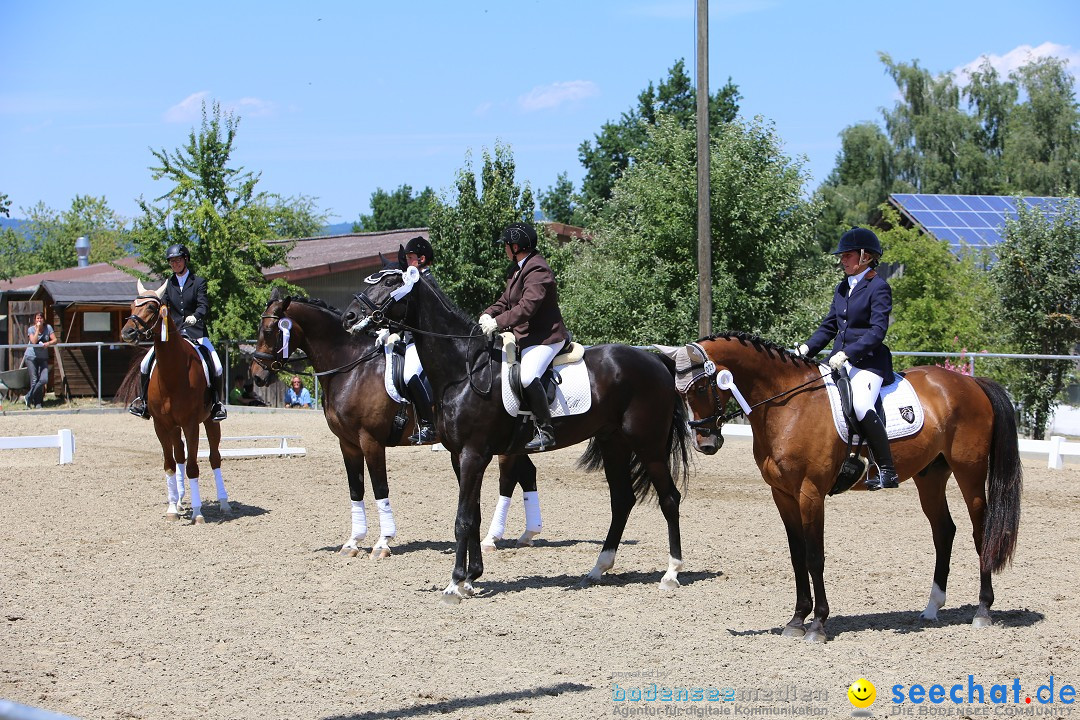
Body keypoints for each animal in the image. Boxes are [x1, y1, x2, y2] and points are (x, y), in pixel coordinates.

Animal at [119, 280, 226, 524]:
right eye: (131, 305)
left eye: (151, 307)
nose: (128, 332)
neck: (173, 371)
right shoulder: (161, 425)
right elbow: (170, 465)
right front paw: (172, 509)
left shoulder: (191, 424)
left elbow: (194, 467)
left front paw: (197, 513)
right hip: (174, 427)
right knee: (179, 458)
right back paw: (178, 501)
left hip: (210, 422)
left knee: (214, 458)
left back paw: (224, 502)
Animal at [251, 289, 540, 561]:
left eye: (269, 330)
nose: (256, 376)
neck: (351, 368)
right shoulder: (347, 444)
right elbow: (356, 489)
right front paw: (352, 542)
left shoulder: (370, 441)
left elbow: (380, 487)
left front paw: (382, 543)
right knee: (527, 473)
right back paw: (528, 533)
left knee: (508, 480)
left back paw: (492, 538)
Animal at [341, 264, 686, 604]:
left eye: (390, 282)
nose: (350, 317)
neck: (464, 371)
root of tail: (654, 360)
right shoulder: (459, 457)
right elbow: (474, 516)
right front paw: (471, 578)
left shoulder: (473, 454)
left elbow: (462, 519)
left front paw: (454, 584)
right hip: (613, 443)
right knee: (622, 500)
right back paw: (597, 569)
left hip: (648, 444)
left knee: (669, 498)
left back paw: (671, 574)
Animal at [669, 332, 1023, 643]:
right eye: (681, 392)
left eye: (702, 386)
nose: (705, 443)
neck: (787, 405)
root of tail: (971, 383)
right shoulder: (782, 495)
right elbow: (797, 556)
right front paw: (796, 620)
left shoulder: (810, 493)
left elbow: (815, 557)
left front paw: (817, 625)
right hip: (931, 476)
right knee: (944, 531)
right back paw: (931, 608)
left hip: (969, 472)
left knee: (981, 532)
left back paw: (982, 611)